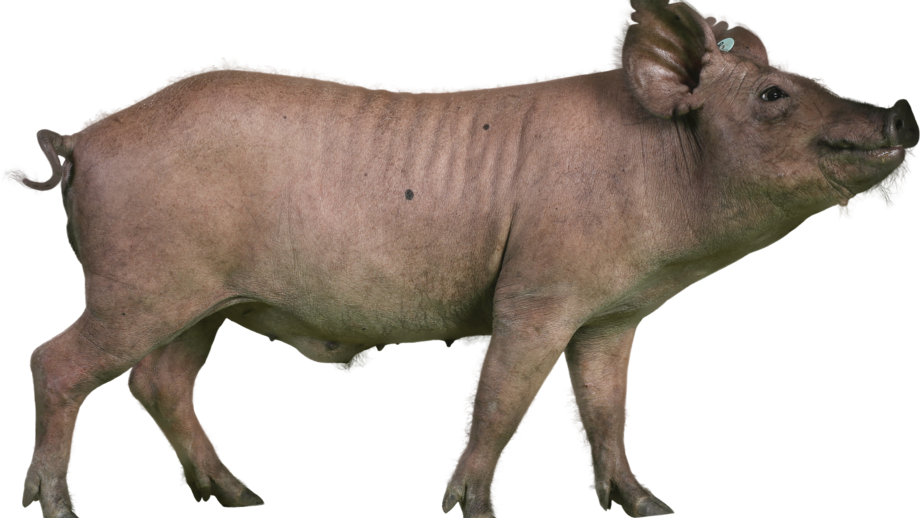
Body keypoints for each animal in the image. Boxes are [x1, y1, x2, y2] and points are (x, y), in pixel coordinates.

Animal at [3, 0, 916, 517]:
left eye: (801, 76)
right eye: (773, 94)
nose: (901, 111)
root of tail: (80, 139)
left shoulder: (613, 313)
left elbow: (602, 410)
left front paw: (649, 508)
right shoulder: (537, 293)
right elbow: (502, 396)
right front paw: (472, 509)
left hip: (203, 303)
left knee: (160, 382)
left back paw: (240, 499)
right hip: (139, 284)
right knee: (55, 361)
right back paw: (55, 506)